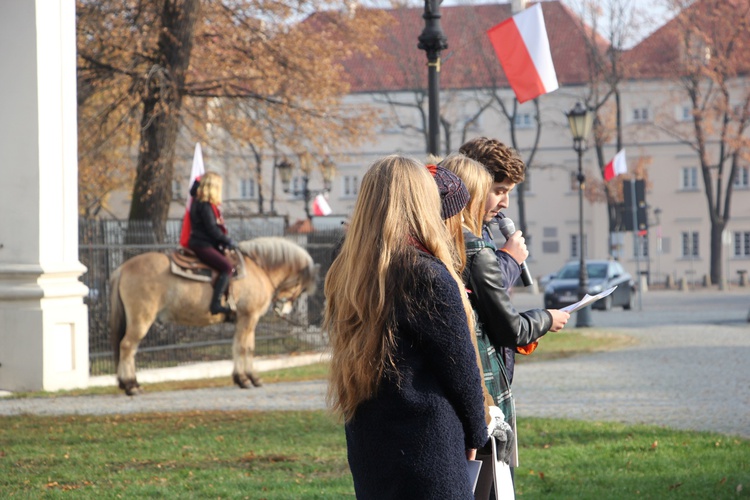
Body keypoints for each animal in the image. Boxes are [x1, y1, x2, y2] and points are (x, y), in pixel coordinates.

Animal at [108, 236, 318, 396]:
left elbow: (246, 347)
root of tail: (123, 268)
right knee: (127, 347)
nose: (284, 309)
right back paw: (131, 386)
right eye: (300, 285)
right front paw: (244, 379)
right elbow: (243, 347)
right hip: (141, 319)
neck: (259, 269)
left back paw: (130, 383)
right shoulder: (249, 317)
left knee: (129, 348)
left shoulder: (246, 320)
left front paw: (249, 377)